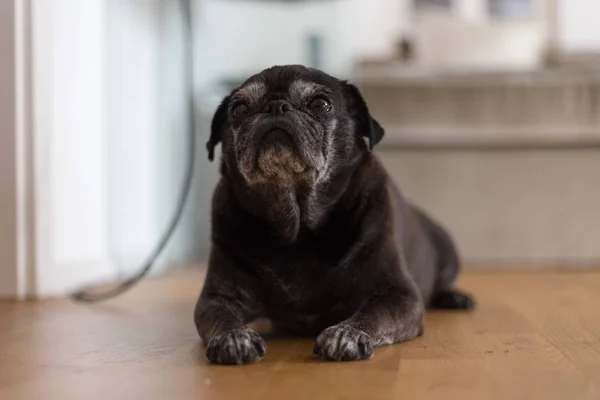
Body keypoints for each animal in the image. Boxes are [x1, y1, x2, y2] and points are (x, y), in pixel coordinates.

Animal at [196, 65, 474, 366]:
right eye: (239, 109)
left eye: (321, 105)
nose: (275, 106)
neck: (296, 227)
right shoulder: (217, 298)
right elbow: (221, 318)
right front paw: (234, 337)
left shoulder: (398, 295)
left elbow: (372, 314)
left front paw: (346, 333)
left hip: (447, 248)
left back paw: (455, 298)